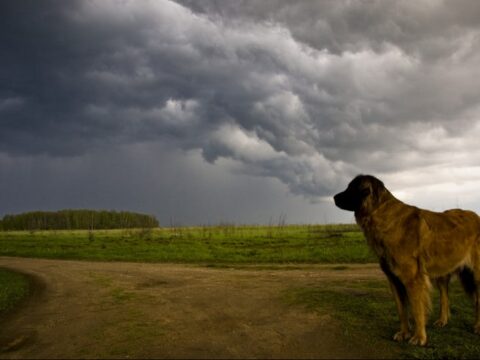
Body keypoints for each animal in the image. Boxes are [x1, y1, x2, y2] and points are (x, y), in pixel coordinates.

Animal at [334, 174, 480, 346]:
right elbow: (401, 310)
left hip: (476, 274)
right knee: (445, 297)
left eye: (351, 188)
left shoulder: (412, 279)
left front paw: (419, 337)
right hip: (443, 273)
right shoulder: (393, 280)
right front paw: (404, 333)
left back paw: (477, 326)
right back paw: (442, 321)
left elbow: (417, 310)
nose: (334, 197)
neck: (381, 214)